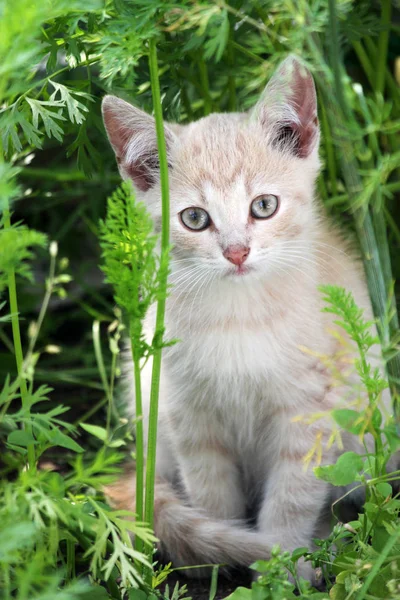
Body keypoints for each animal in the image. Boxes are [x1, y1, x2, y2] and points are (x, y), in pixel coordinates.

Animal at [101, 56, 390, 580]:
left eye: (263, 205)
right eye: (195, 218)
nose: (236, 252)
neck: (238, 316)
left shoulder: (308, 411)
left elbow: (292, 496)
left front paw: (284, 567)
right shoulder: (186, 409)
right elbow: (212, 495)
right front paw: (223, 562)